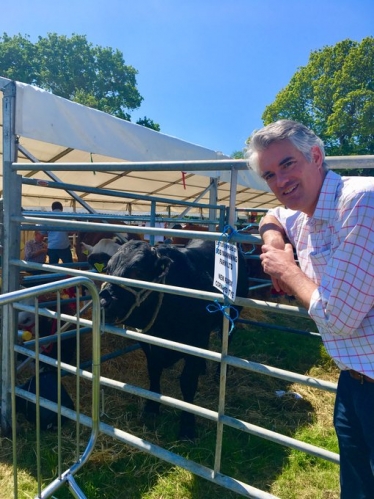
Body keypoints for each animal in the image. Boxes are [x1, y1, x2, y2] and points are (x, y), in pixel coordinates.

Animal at [99, 238, 248, 438]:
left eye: (138, 272)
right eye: (108, 269)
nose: (103, 301)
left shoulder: (196, 341)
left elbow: (188, 382)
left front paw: (187, 426)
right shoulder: (148, 343)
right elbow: (154, 371)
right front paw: (152, 407)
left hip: (232, 317)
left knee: (228, 340)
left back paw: (218, 374)